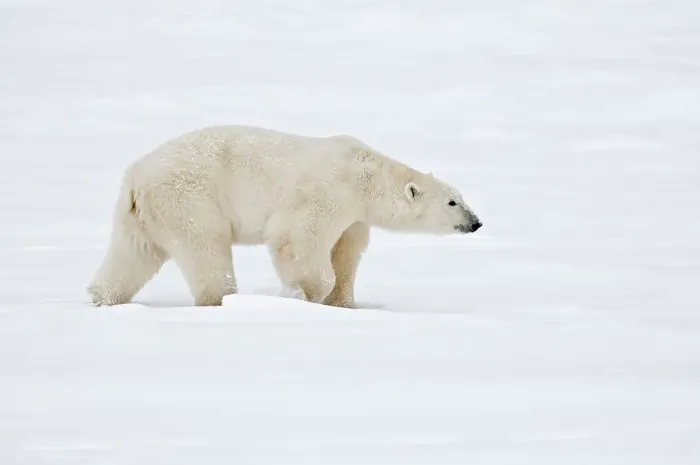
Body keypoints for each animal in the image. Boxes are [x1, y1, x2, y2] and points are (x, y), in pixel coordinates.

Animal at [87, 125, 482, 308]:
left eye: (462, 197)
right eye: (452, 202)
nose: (476, 222)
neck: (364, 174)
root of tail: (136, 178)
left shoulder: (355, 217)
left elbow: (346, 254)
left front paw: (344, 303)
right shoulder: (326, 191)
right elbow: (298, 238)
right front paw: (300, 294)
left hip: (144, 213)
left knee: (133, 253)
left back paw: (103, 298)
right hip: (188, 198)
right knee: (206, 246)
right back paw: (220, 299)